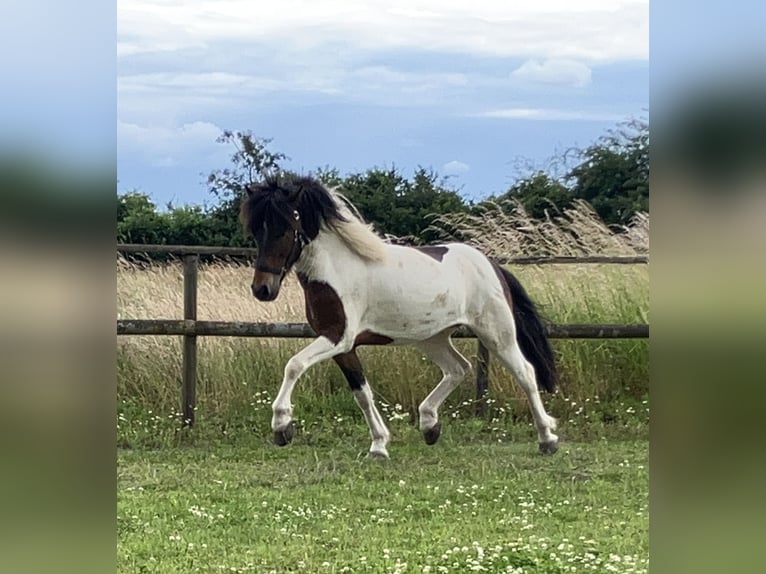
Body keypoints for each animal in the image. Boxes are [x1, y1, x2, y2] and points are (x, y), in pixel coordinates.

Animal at [237, 174, 560, 460]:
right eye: (255, 230)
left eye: (283, 227)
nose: (262, 289)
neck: (337, 271)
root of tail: (492, 265)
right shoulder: (343, 347)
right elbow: (362, 394)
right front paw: (379, 446)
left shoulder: (338, 337)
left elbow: (294, 365)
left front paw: (282, 427)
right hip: (432, 338)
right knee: (458, 368)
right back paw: (430, 426)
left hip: (496, 333)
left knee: (525, 373)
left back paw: (547, 439)